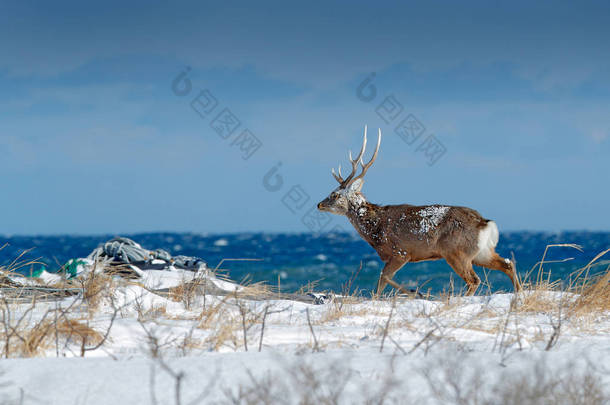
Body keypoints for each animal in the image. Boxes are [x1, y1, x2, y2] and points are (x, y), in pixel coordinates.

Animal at [316, 124, 520, 296]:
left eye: (334, 194)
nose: (319, 204)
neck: (375, 230)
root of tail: (485, 223)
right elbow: (382, 281)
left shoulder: (400, 251)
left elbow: (383, 278)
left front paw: (415, 292)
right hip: (481, 252)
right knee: (508, 263)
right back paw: (519, 293)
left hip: (457, 252)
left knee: (474, 280)